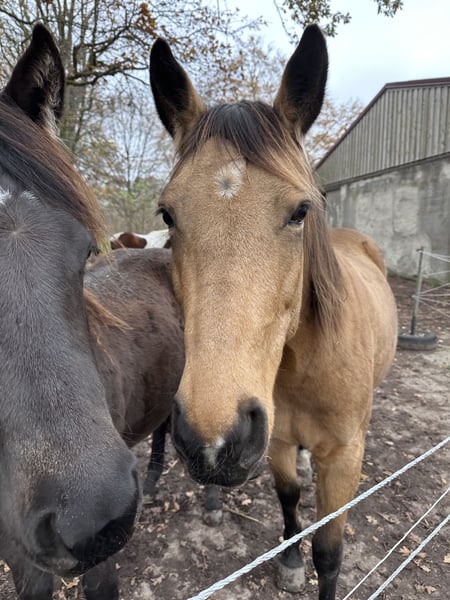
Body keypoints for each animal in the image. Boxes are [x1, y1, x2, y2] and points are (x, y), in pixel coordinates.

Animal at [149, 24, 398, 600]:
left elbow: (330, 552)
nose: (213, 441)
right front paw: (287, 561)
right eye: (167, 214)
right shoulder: (279, 440)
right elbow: (288, 500)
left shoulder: (344, 460)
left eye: (301, 211)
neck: (308, 364)